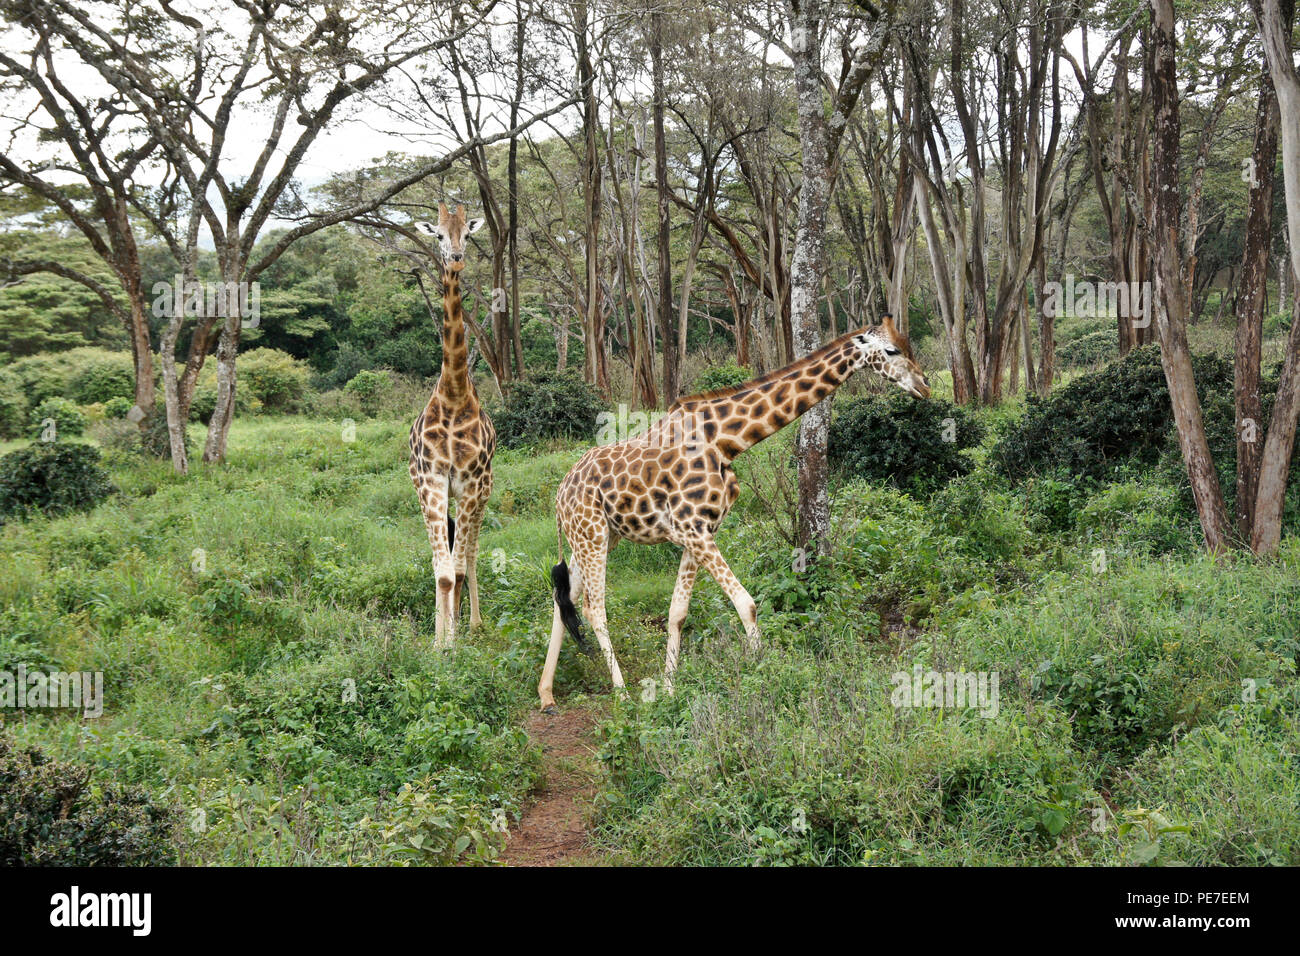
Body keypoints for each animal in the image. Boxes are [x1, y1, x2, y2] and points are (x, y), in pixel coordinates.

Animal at [533, 317, 930, 712]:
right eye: (892, 351)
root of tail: (559, 497)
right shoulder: (692, 529)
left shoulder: (696, 532)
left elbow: (677, 613)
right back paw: (622, 693)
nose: (925, 386)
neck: (726, 440)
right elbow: (746, 603)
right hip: (592, 535)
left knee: (562, 600)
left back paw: (547, 694)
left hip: (596, 536)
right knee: (593, 608)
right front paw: (767, 674)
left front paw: (670, 688)